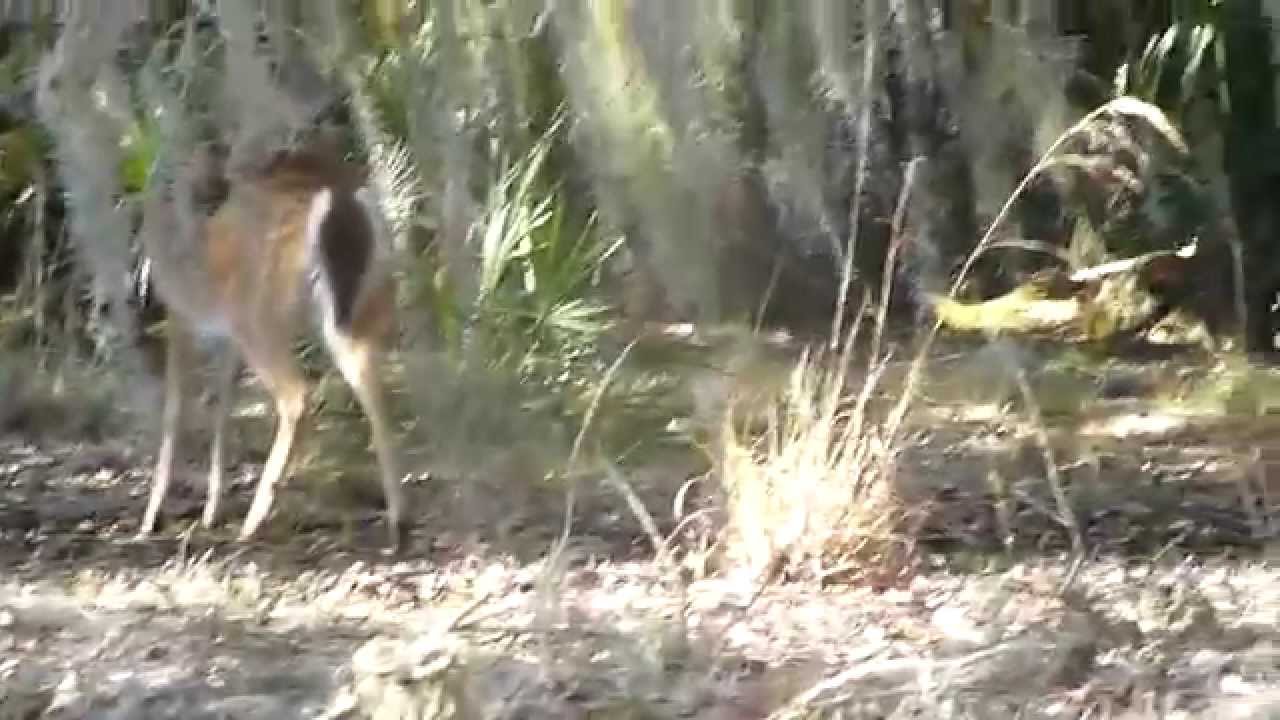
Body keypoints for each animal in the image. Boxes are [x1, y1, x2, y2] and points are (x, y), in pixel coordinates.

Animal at [133, 133, 407, 551]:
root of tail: (337, 198)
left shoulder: (187, 320)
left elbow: (175, 411)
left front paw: (152, 518)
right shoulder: (224, 339)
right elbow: (223, 409)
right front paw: (211, 510)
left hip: (260, 316)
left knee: (296, 395)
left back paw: (254, 522)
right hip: (361, 307)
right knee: (373, 388)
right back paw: (398, 522)